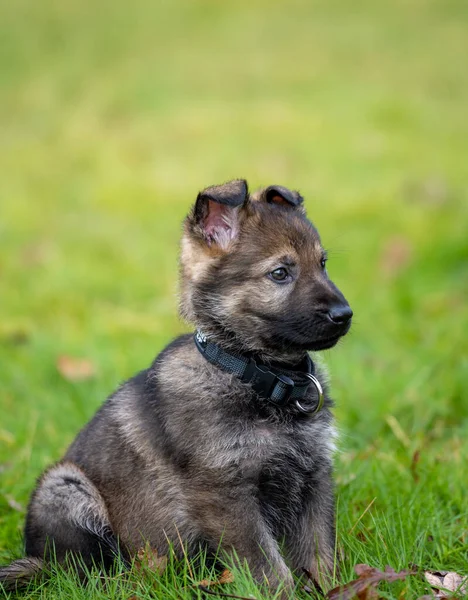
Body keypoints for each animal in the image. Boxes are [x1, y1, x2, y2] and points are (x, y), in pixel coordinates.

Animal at [0, 179, 352, 596]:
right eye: (280, 273)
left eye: (323, 263)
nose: (345, 315)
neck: (257, 375)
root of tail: (36, 560)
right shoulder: (225, 493)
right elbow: (269, 568)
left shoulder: (314, 475)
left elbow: (319, 555)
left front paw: (334, 590)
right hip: (64, 489)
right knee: (87, 573)